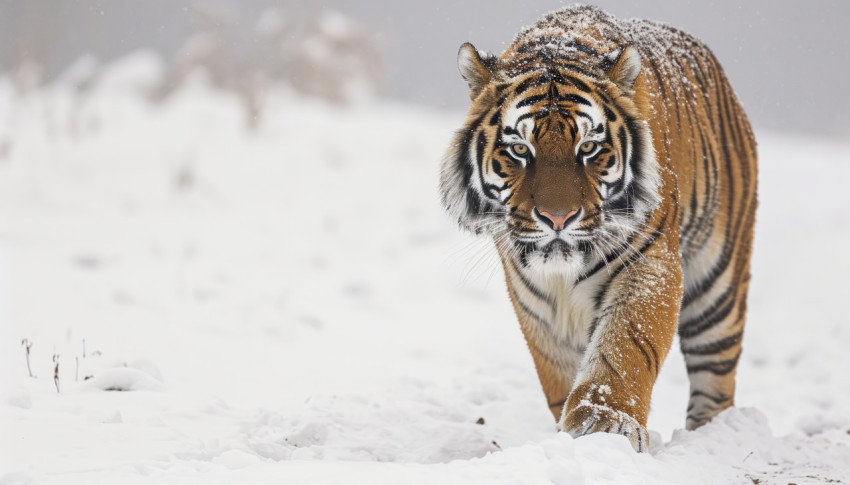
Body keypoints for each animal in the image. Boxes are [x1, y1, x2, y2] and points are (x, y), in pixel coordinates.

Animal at [438, 3, 756, 452]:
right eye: (519, 149)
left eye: (588, 147)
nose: (557, 218)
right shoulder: (534, 301)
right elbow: (558, 372)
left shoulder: (650, 263)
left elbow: (625, 348)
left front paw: (605, 423)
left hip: (719, 286)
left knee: (716, 380)